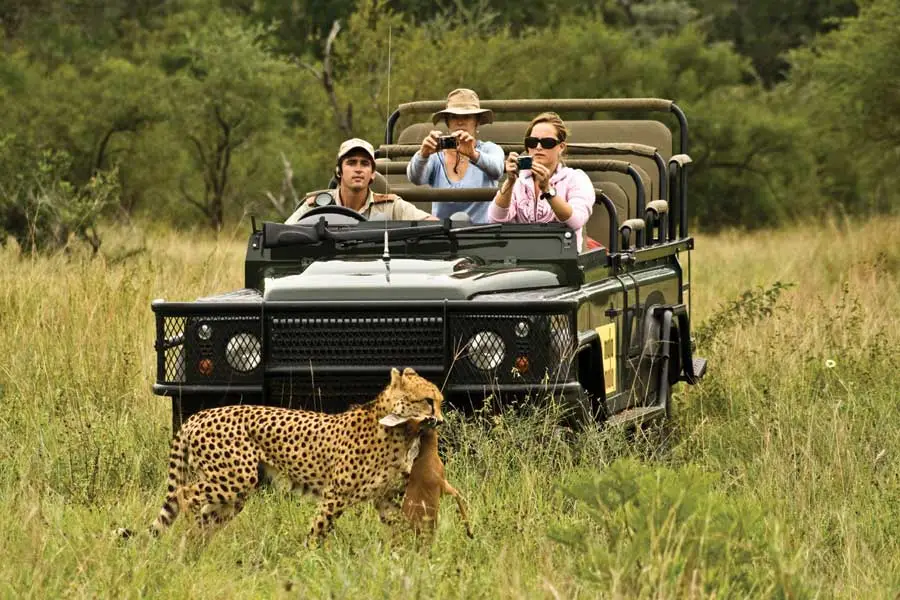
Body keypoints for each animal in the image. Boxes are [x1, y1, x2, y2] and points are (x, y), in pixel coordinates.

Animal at [124, 367, 443, 547]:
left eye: (440, 401)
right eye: (428, 401)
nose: (440, 420)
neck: (400, 429)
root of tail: (199, 415)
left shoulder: (384, 499)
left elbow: (401, 528)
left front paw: (410, 557)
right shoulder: (335, 495)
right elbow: (319, 528)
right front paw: (309, 559)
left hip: (232, 492)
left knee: (205, 517)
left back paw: (193, 552)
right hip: (235, 479)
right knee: (183, 494)